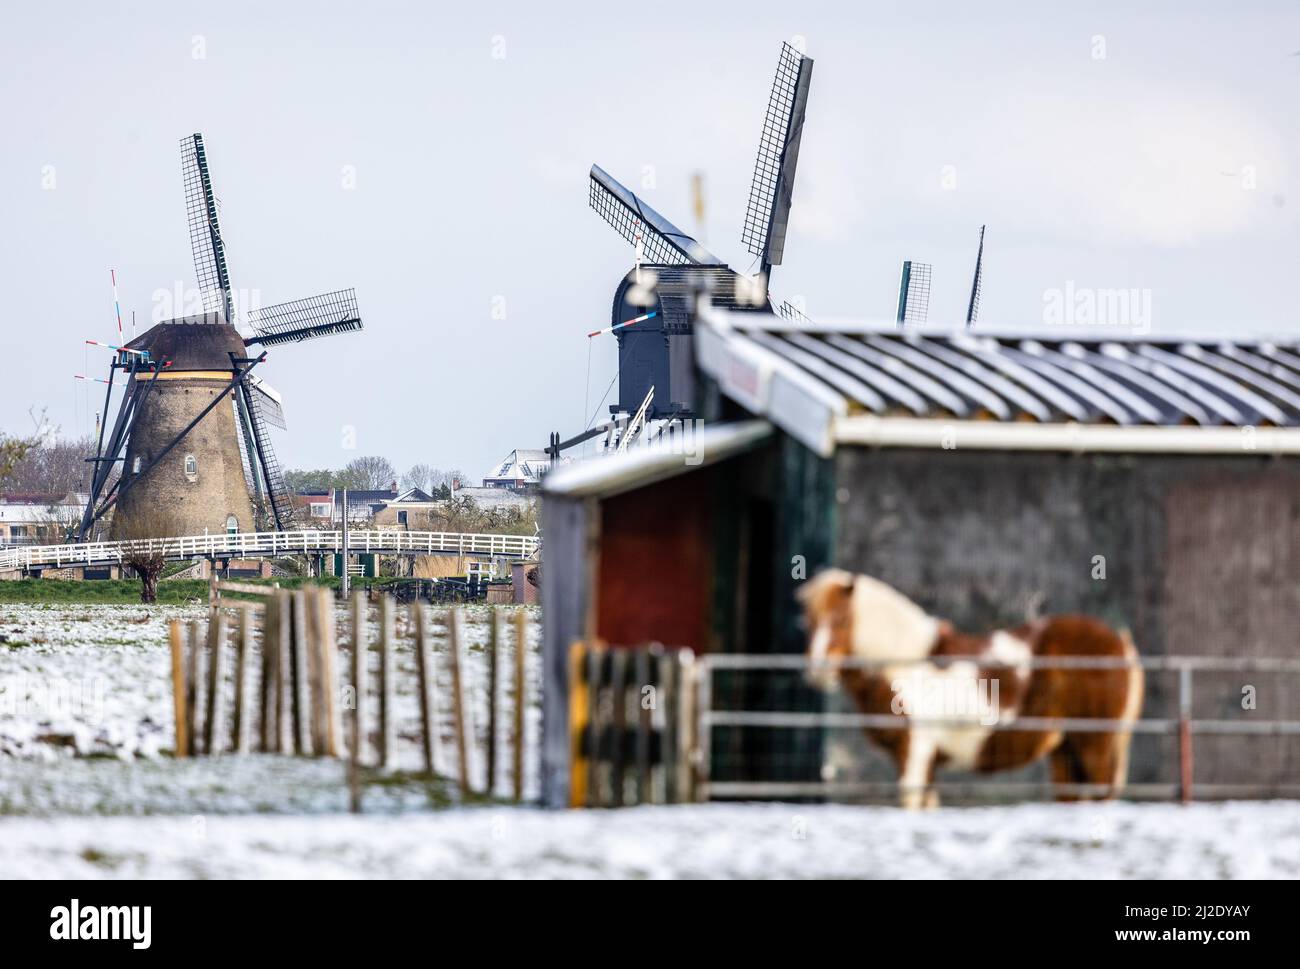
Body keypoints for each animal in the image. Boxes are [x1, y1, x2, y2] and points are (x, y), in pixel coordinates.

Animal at [795, 569, 1144, 806]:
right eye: (808, 623)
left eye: (841, 620)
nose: (818, 671)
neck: (905, 661)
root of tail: (1120, 642)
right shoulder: (927, 763)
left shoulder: (914, 752)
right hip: (1066, 751)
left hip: (1095, 747)